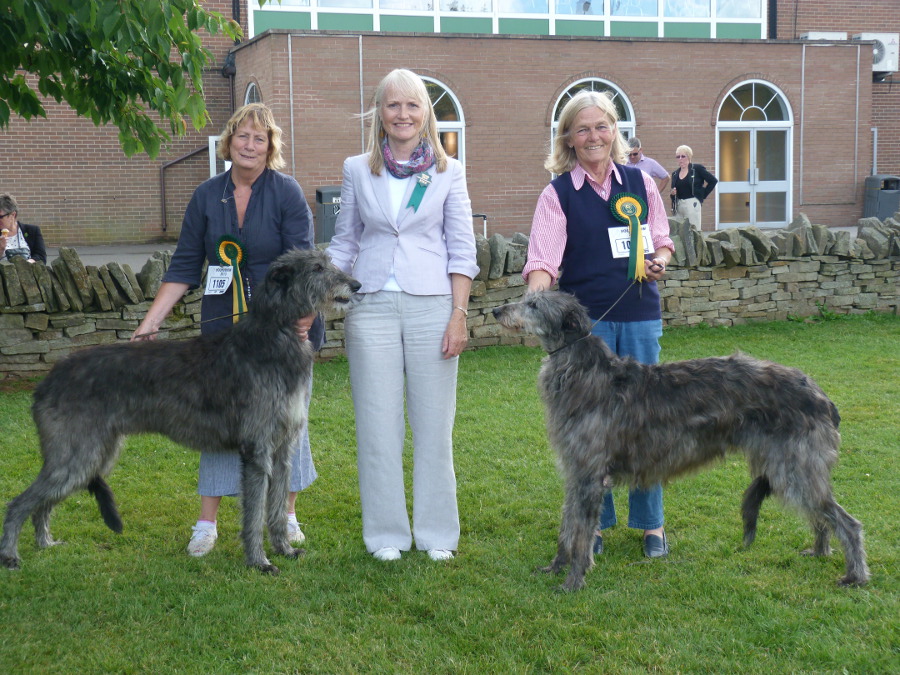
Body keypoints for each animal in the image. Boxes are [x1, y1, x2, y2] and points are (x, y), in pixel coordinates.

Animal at [0, 250, 358, 576]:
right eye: (317, 267)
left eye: (327, 261)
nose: (356, 284)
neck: (273, 338)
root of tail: (46, 382)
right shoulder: (257, 449)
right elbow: (255, 513)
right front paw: (259, 562)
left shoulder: (282, 449)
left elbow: (278, 508)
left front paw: (284, 549)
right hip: (77, 456)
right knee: (19, 502)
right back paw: (11, 556)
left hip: (93, 455)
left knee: (43, 503)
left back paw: (45, 543)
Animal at [496, 290, 868, 592]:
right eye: (526, 297)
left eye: (534, 305)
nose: (497, 310)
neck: (584, 372)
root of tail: (822, 396)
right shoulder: (576, 472)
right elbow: (568, 527)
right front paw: (556, 566)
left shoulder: (589, 475)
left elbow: (581, 534)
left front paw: (573, 581)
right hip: (791, 469)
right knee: (822, 516)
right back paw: (819, 551)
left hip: (795, 466)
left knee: (846, 522)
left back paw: (855, 576)